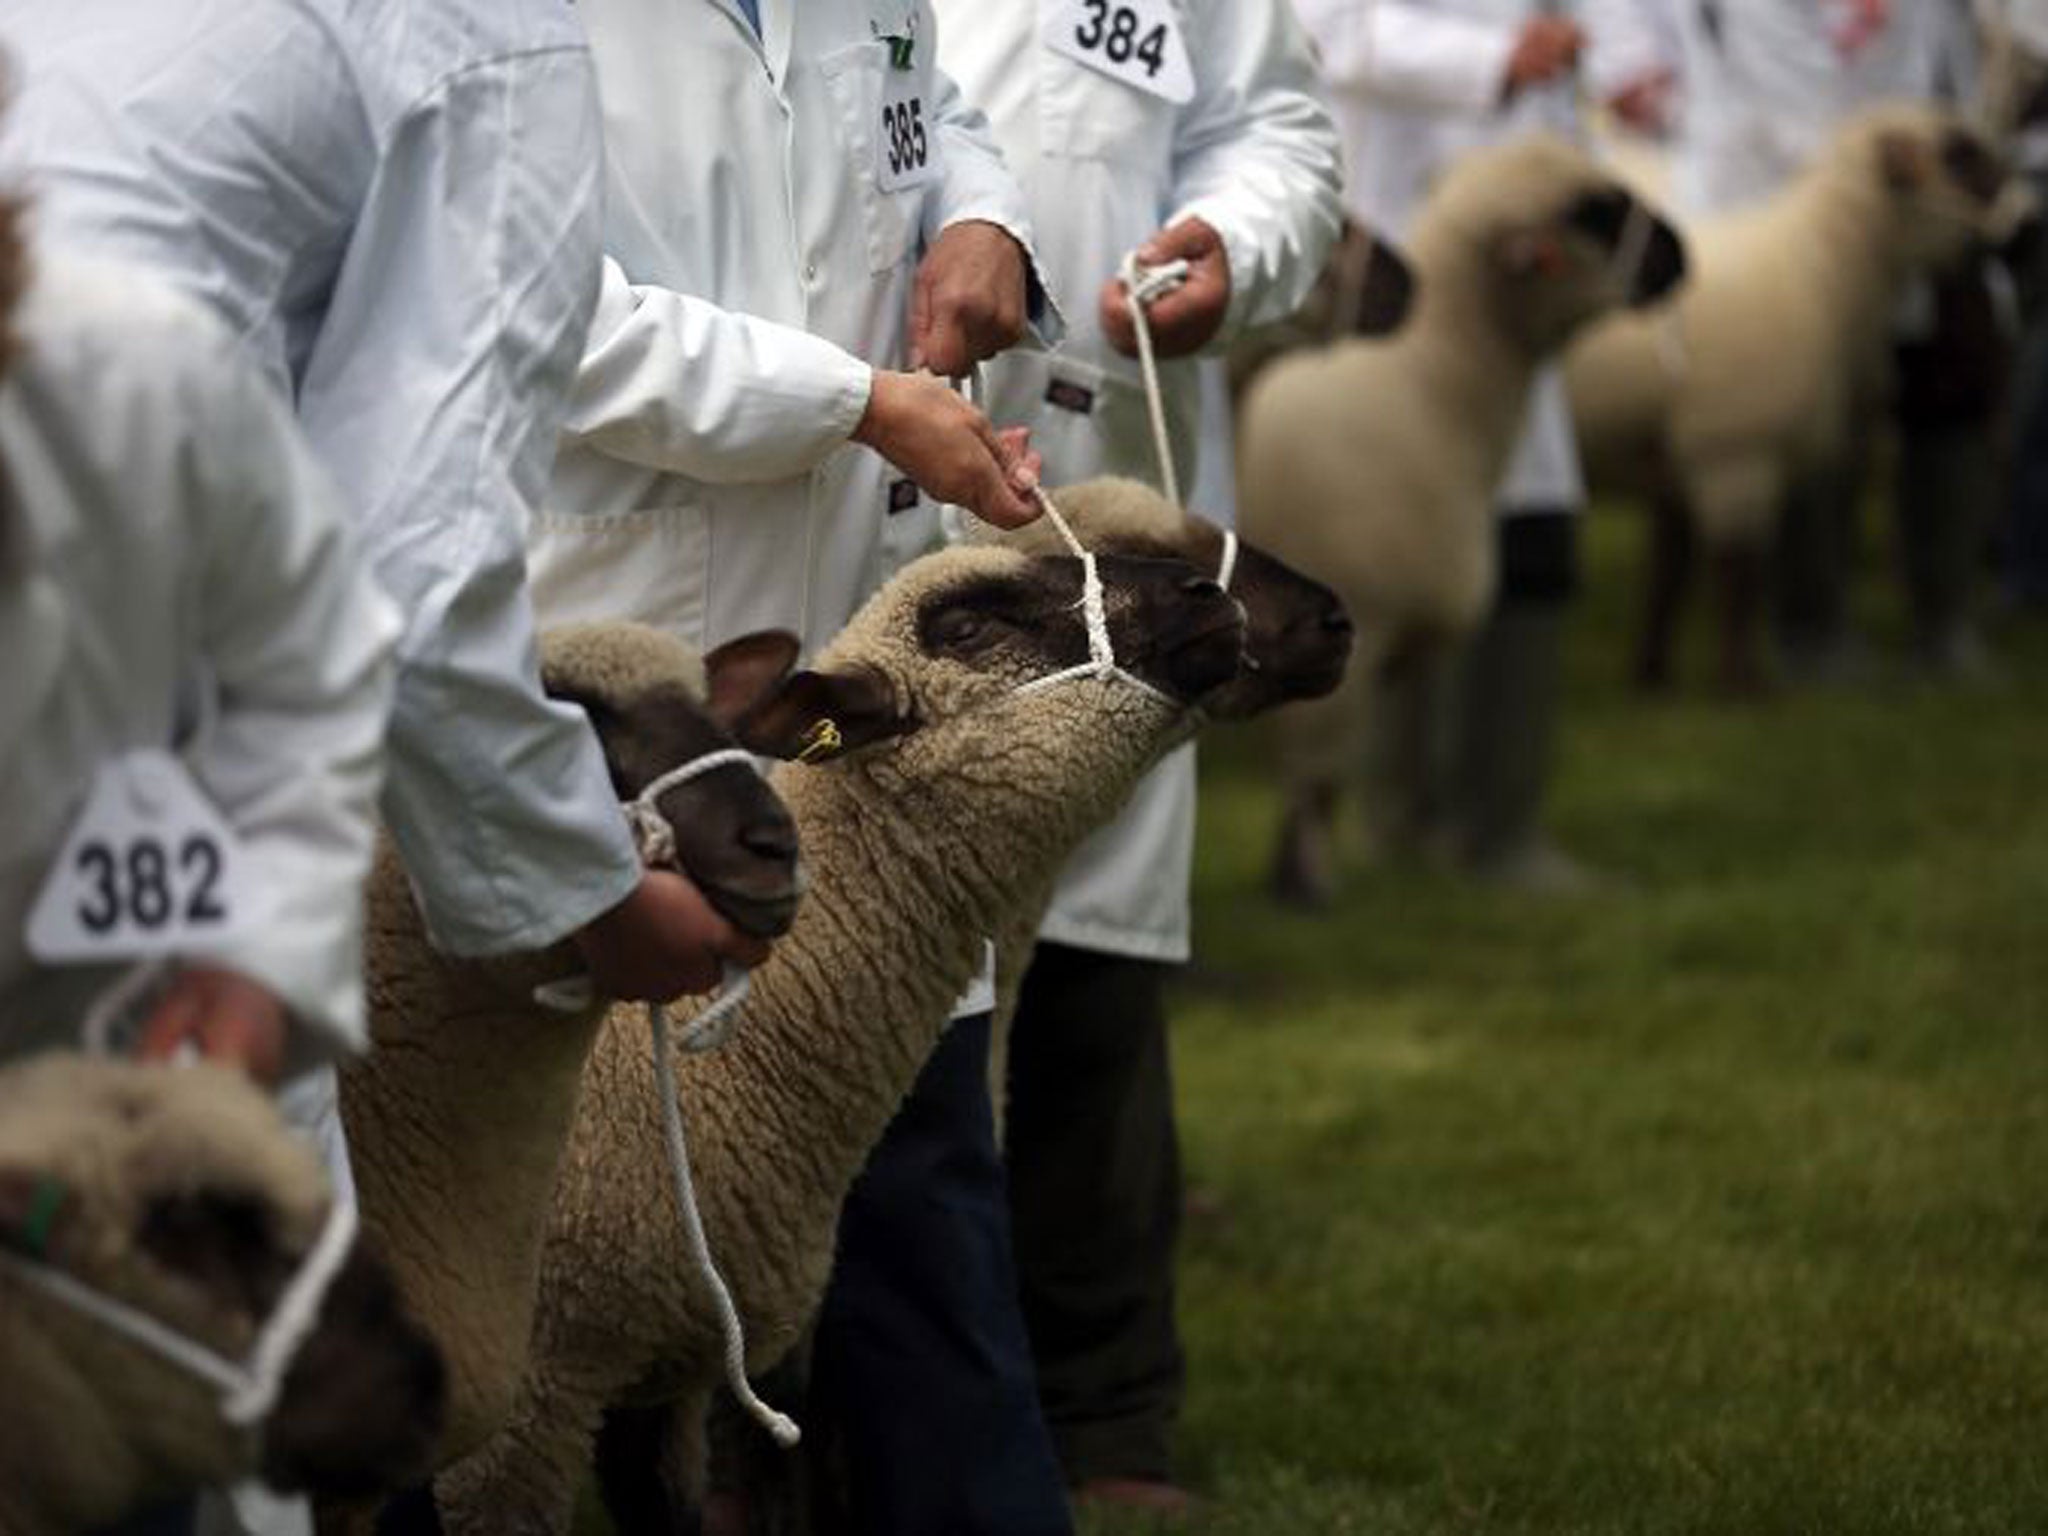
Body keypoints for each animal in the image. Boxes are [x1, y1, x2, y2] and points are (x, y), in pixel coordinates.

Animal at [1235, 136, 1686, 906]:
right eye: (1590, 212)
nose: (1683, 253)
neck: (1432, 390)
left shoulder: (1403, 642)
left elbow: (1393, 751)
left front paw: (1403, 853)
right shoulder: (1353, 637)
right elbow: (1319, 778)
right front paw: (1308, 887)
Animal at [1568, 105, 2034, 692]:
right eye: (1959, 156)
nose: (2029, 225)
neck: (1822, 267)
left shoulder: (1680, 459)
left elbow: (1670, 569)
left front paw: (1652, 676)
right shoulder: (1736, 452)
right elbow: (1741, 574)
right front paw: (1743, 686)